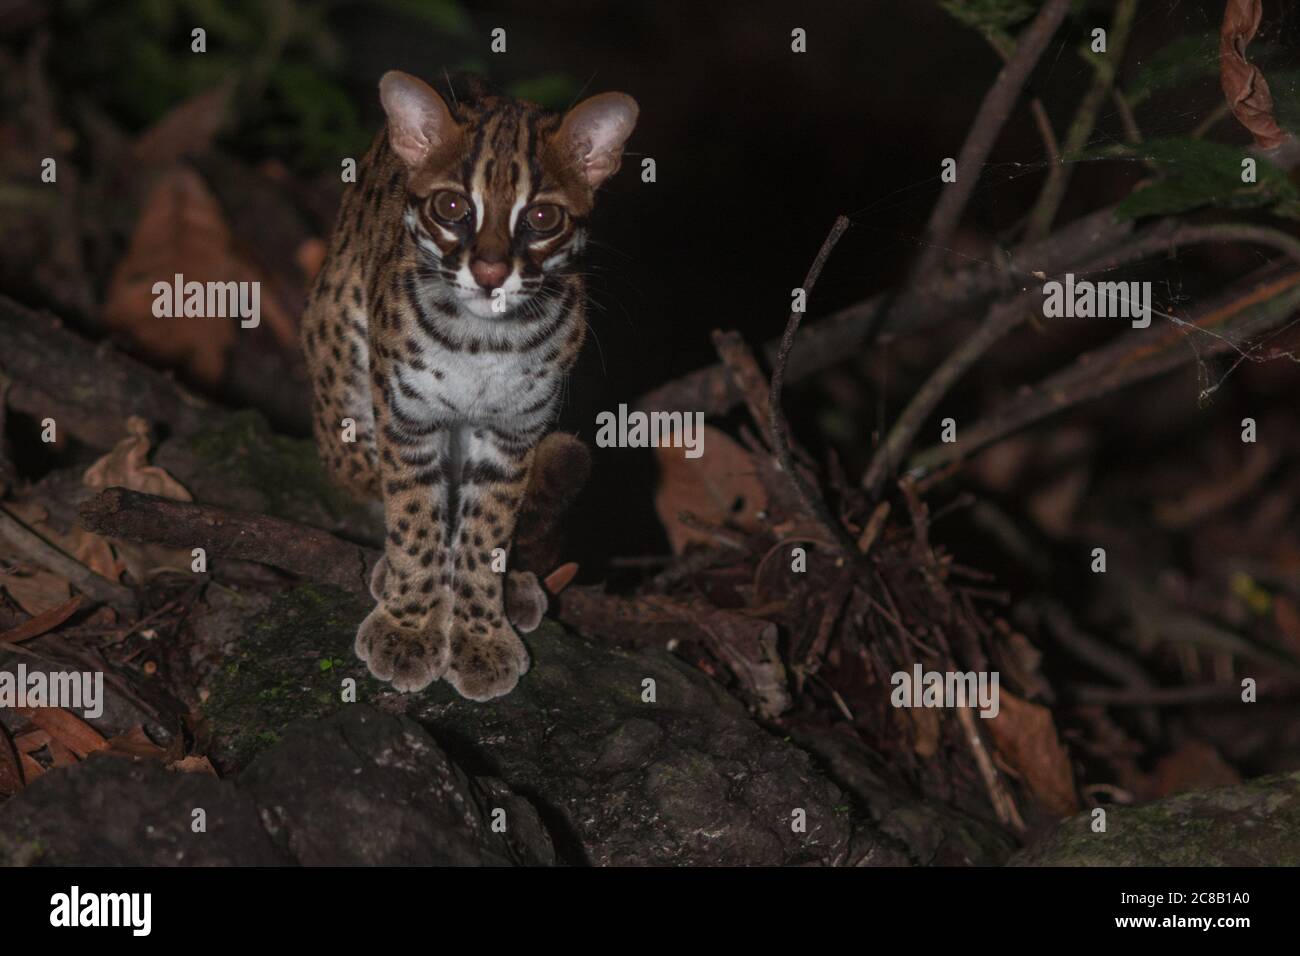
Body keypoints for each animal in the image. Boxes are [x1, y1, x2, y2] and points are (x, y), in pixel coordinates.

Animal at [299, 72, 634, 702]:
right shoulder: (407, 416)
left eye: (542, 218)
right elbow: (413, 518)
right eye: (453, 207)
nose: (490, 273)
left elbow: (487, 532)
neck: (485, 339)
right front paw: (409, 625)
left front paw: (479, 632)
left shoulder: (514, 430)